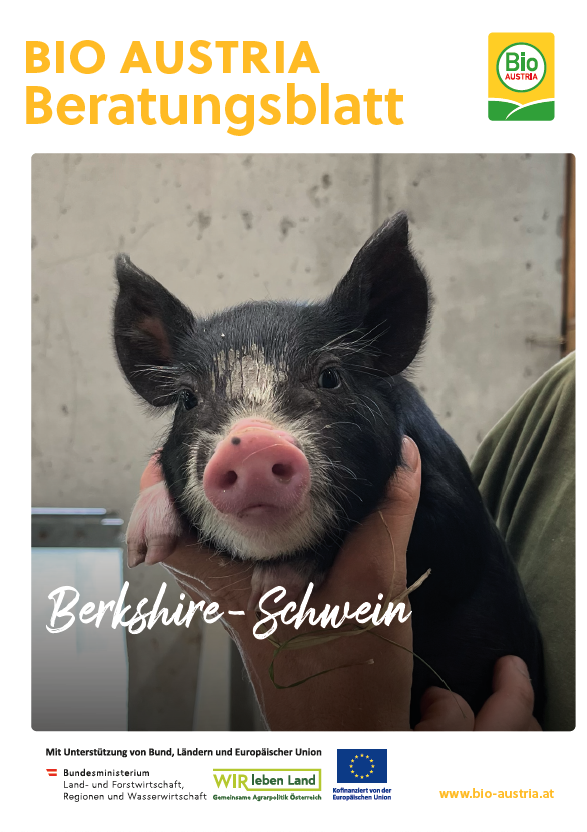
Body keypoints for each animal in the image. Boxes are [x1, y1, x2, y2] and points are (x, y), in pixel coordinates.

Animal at [113, 212, 544, 723]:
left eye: (330, 376)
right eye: (187, 399)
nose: (251, 443)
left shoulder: (456, 528)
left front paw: (276, 586)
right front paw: (143, 545)